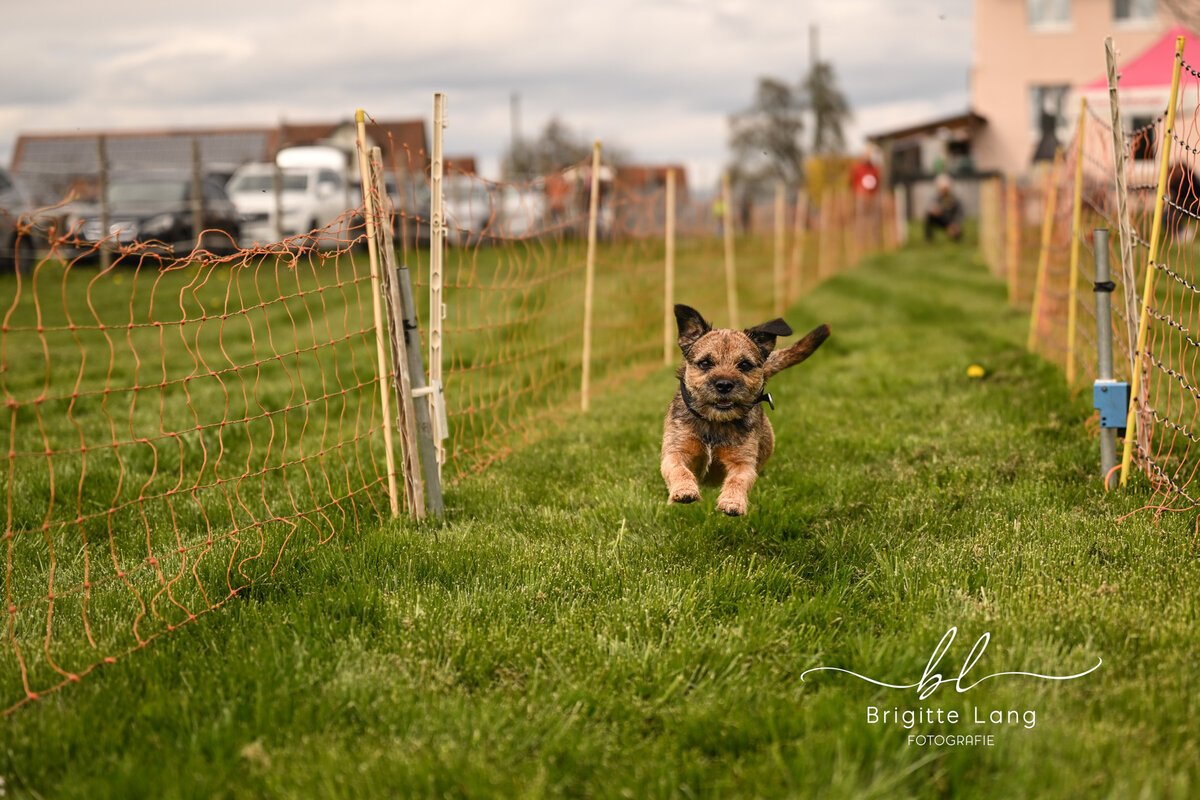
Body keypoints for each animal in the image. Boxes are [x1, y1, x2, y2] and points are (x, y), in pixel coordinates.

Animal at [660, 304, 830, 516]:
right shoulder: (676, 450)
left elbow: (737, 479)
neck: (714, 422)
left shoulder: (743, 462)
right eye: (705, 363)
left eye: (744, 365)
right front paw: (685, 490)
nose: (724, 384)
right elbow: (678, 468)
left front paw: (732, 502)